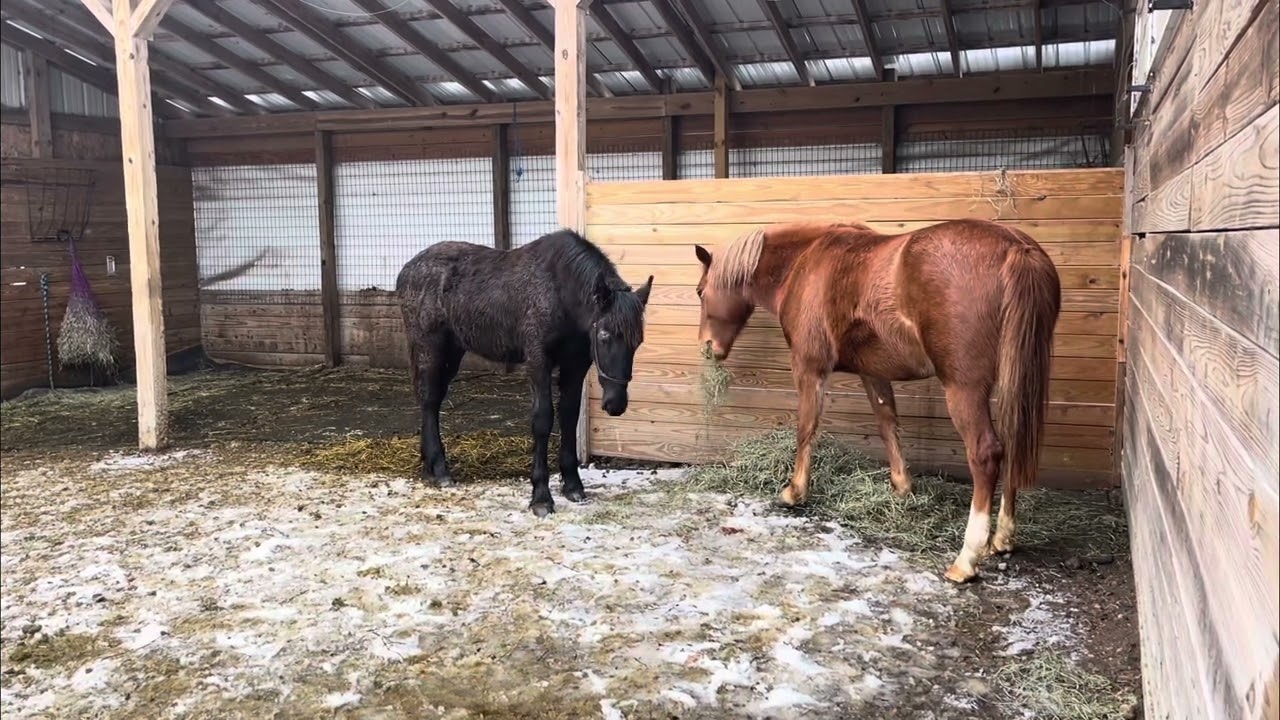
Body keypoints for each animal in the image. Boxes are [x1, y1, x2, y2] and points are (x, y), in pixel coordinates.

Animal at [396, 229, 654, 517]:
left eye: (638, 341)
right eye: (605, 335)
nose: (615, 404)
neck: (560, 293)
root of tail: (407, 270)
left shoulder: (575, 365)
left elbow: (569, 416)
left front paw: (573, 485)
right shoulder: (538, 361)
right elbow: (542, 420)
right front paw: (541, 497)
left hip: (452, 352)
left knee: (432, 401)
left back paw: (430, 467)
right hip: (430, 348)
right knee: (429, 401)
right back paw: (440, 471)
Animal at [693, 220, 1061, 582]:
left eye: (700, 291)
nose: (708, 348)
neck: (803, 262)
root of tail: (1015, 247)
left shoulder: (809, 367)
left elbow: (806, 427)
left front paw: (794, 492)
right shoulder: (873, 373)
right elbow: (887, 425)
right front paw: (902, 487)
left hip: (964, 388)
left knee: (986, 454)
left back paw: (966, 560)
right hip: (1013, 379)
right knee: (1014, 441)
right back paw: (1003, 538)